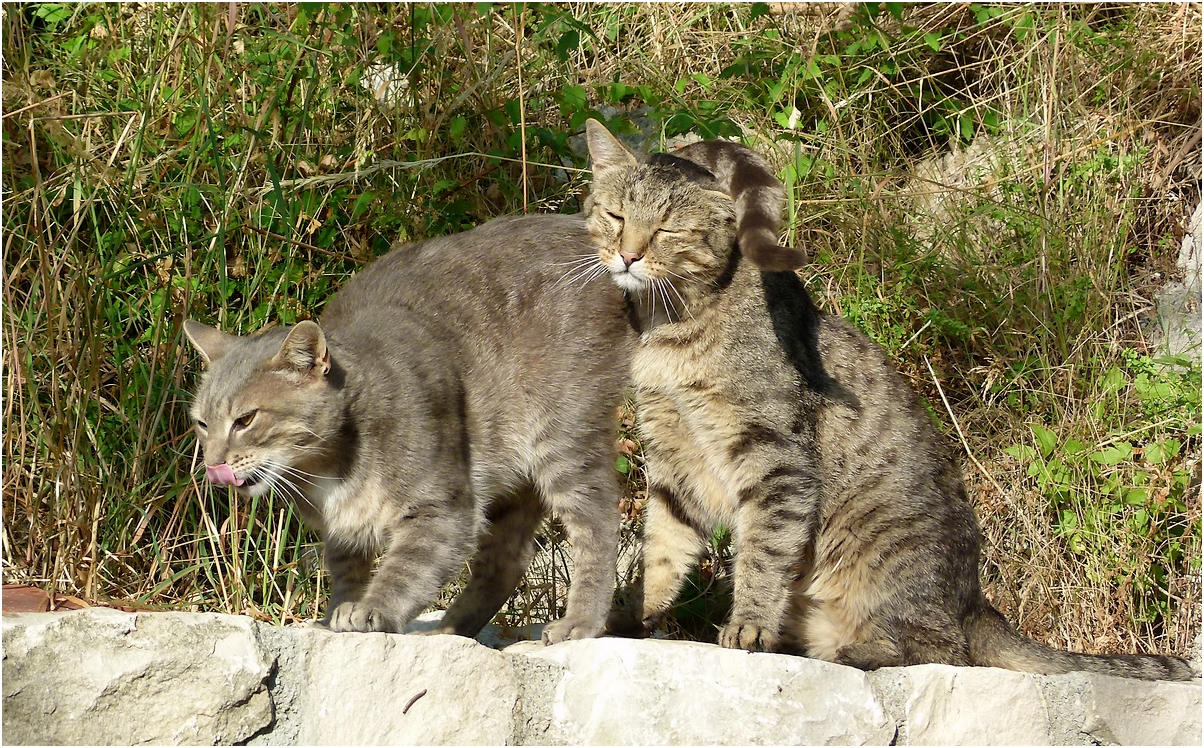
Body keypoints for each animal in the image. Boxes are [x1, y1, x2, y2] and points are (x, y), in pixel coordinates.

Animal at [183, 211, 635, 640]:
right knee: (508, 559)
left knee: (597, 522)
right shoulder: (342, 532)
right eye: (203, 423)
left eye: (245, 420)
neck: (326, 468)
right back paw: (449, 629)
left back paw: (580, 622)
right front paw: (337, 613)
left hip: (562, 437)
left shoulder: (443, 510)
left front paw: (371, 609)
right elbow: (348, 573)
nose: (212, 464)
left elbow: (406, 569)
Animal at [585, 118, 1194, 684]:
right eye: (615, 216)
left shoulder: (775, 458)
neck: (668, 328)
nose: (627, 255)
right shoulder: (673, 456)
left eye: (666, 229)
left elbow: (763, 553)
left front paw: (748, 625)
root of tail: (977, 602)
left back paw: (855, 652)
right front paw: (635, 614)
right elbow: (663, 548)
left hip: (885, 557)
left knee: (940, 651)